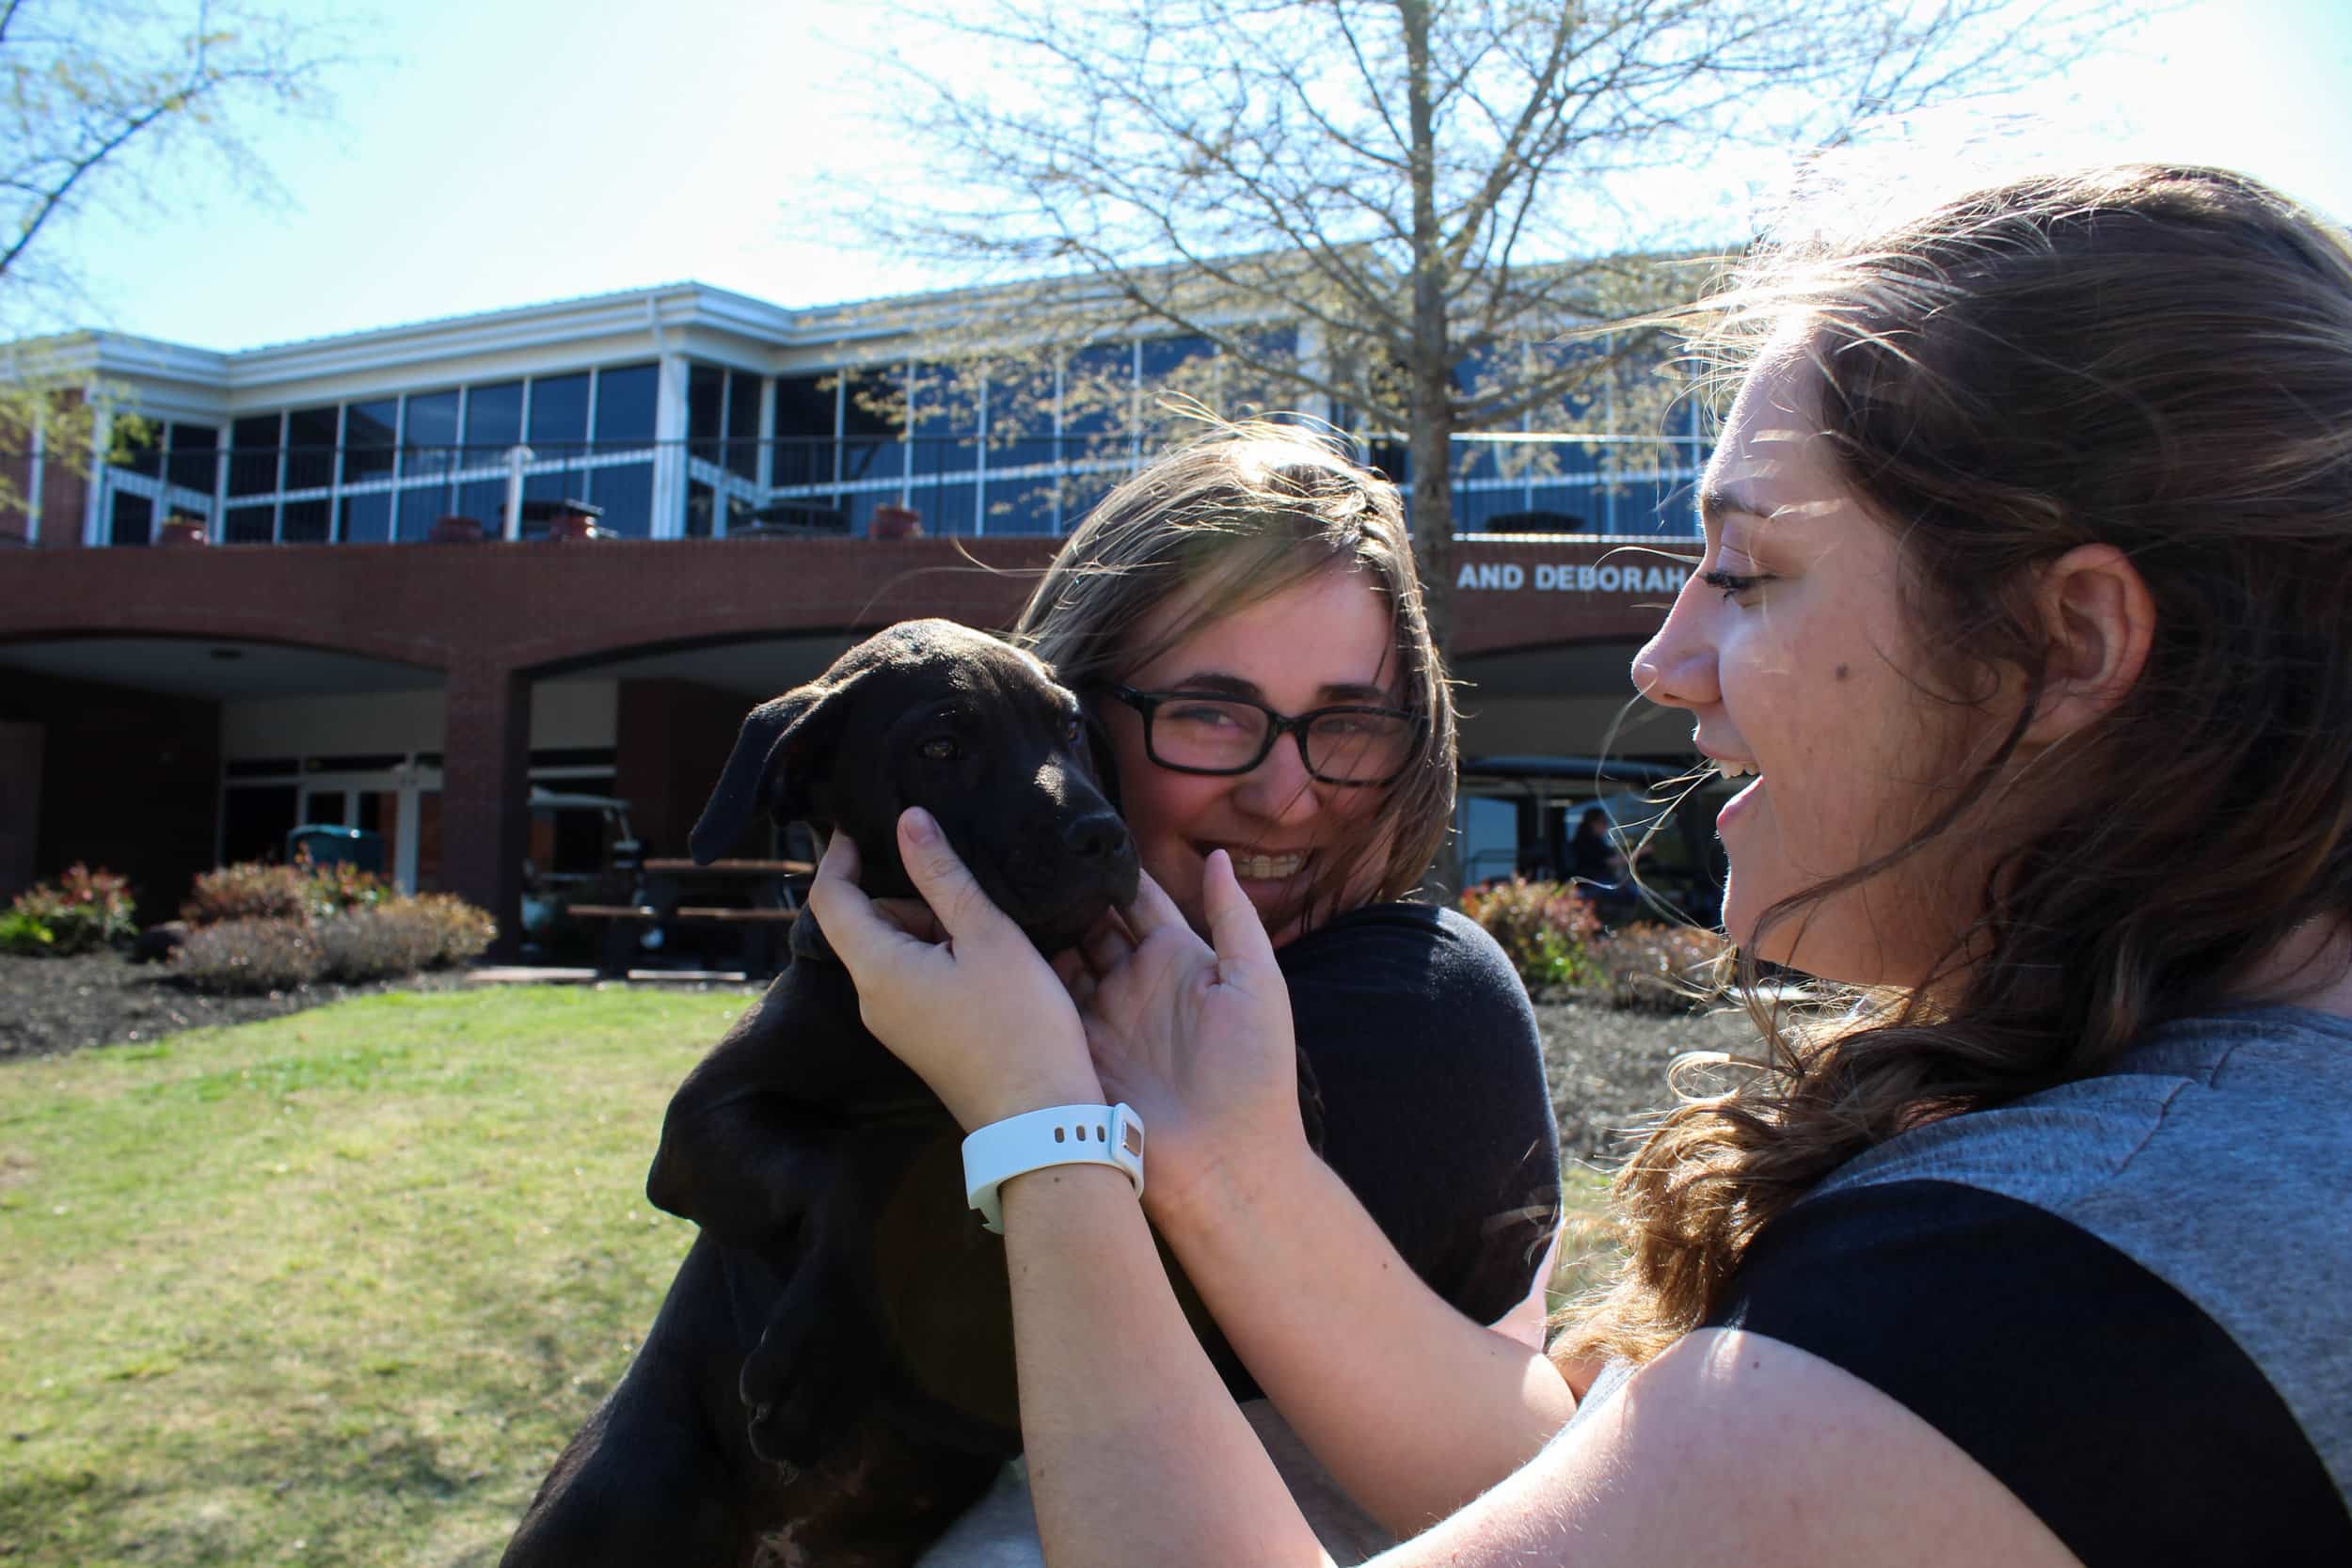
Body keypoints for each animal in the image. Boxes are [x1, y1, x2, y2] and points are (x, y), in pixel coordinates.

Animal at [501, 625, 1143, 1568]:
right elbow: (860, 1156)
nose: (1104, 836)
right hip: (618, 1488)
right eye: (941, 747)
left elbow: (901, 1140)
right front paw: (812, 1362)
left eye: (1068, 728)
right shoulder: (695, 1128)